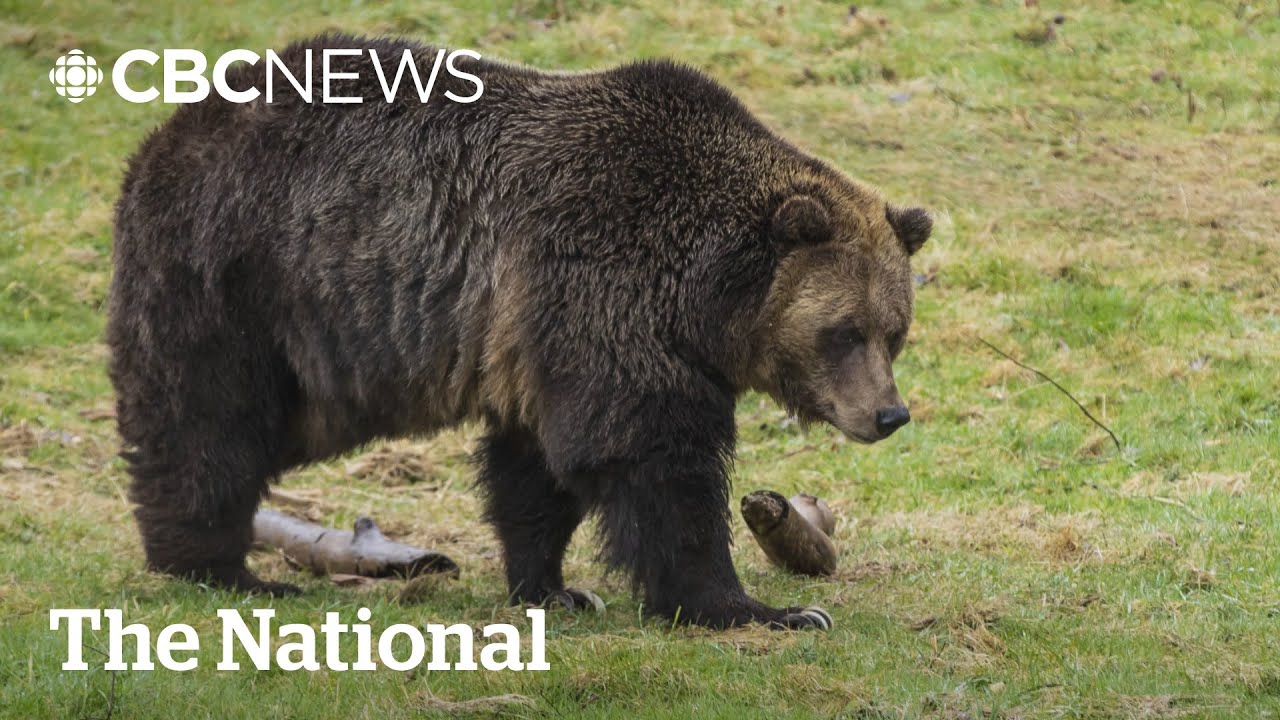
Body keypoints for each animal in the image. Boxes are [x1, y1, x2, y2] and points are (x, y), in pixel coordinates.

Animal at [107, 34, 930, 630]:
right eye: (842, 331)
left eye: (895, 331)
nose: (888, 414)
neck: (703, 295)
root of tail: (169, 130)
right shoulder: (602, 286)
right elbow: (653, 461)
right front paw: (762, 607)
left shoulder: (541, 336)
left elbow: (536, 470)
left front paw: (554, 587)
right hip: (244, 277)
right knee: (208, 420)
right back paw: (225, 568)